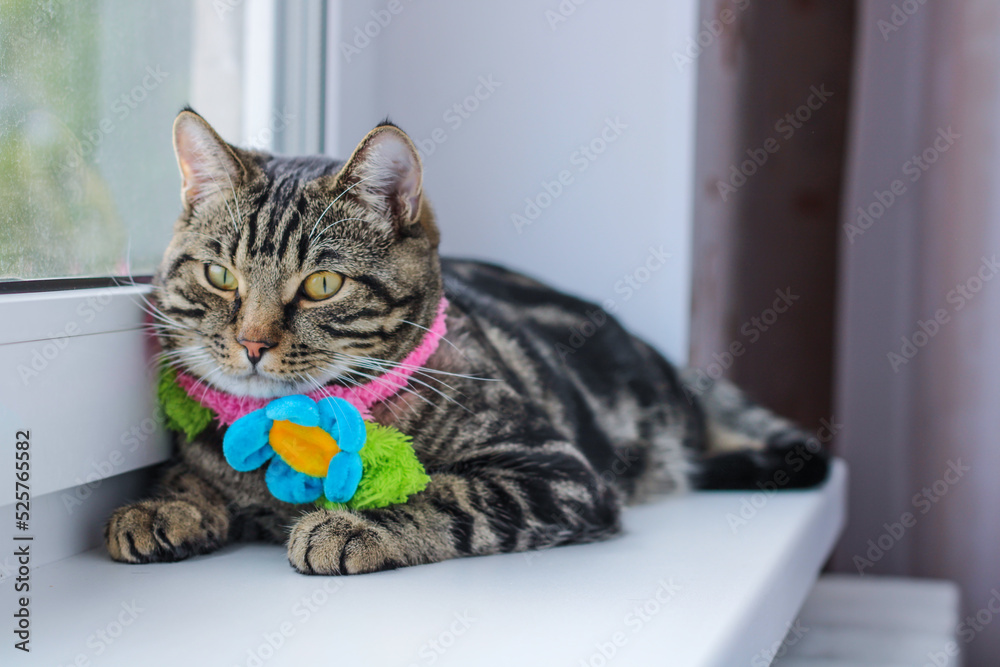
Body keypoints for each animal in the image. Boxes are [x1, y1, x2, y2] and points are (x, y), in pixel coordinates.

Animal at [103, 109, 828, 576]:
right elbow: (196, 475)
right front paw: (164, 501)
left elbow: (447, 493)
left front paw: (354, 521)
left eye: (322, 284)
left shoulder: (556, 471)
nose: (252, 342)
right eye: (220, 275)